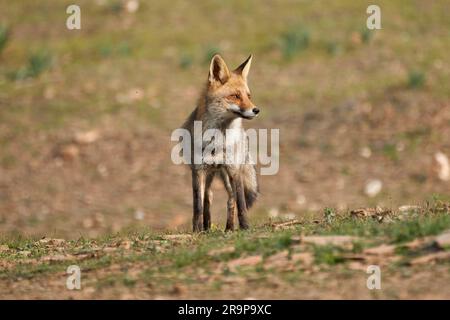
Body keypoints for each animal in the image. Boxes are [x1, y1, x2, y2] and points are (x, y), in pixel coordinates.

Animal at [182, 53, 258, 231]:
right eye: (235, 96)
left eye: (248, 96)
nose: (256, 110)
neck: (218, 141)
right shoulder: (198, 170)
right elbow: (198, 205)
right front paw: (197, 230)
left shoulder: (234, 170)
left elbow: (241, 202)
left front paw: (245, 227)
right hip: (210, 174)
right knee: (208, 197)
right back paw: (207, 227)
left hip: (227, 174)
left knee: (231, 199)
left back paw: (229, 227)